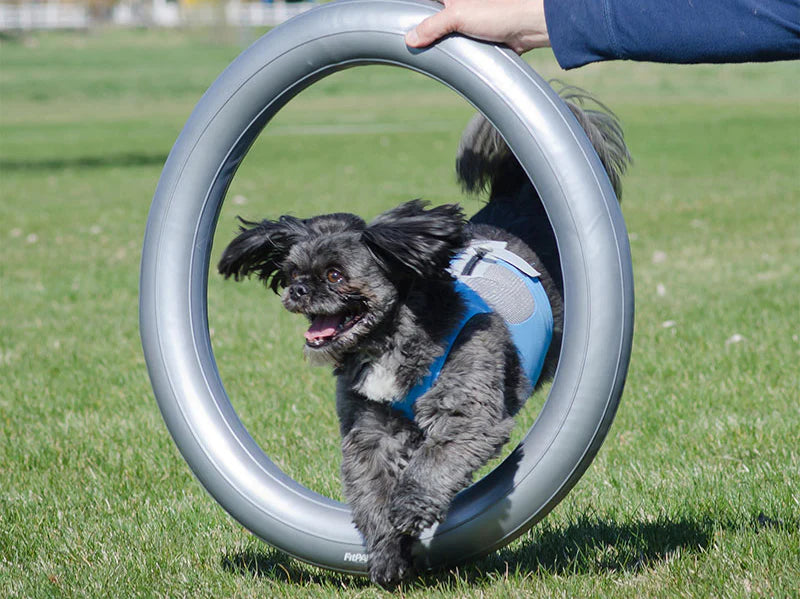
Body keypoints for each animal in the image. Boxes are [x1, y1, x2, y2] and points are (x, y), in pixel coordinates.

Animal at [219, 89, 632, 584]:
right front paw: (386, 553)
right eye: (292, 273)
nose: (298, 291)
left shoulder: (467, 415)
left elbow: (434, 463)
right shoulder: (369, 432)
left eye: (335, 275)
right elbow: (370, 494)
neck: (390, 340)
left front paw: (411, 509)